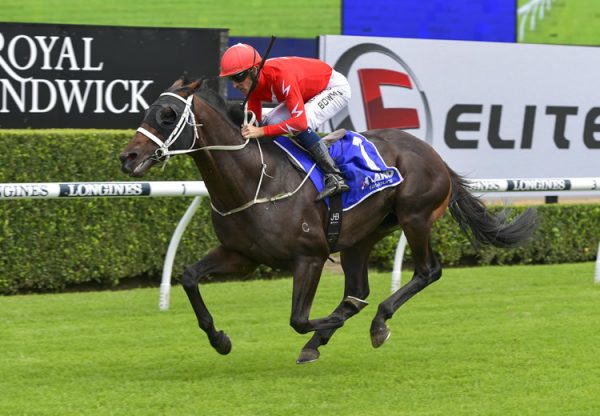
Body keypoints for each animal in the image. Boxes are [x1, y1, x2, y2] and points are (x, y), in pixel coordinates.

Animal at [119, 79, 536, 364]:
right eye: (147, 110)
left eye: (168, 115)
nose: (128, 156)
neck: (255, 177)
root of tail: (432, 153)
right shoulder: (241, 254)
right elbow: (189, 277)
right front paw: (220, 339)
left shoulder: (310, 256)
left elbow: (299, 319)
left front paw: (330, 325)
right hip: (359, 238)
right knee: (360, 288)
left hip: (415, 216)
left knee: (426, 271)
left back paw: (377, 322)